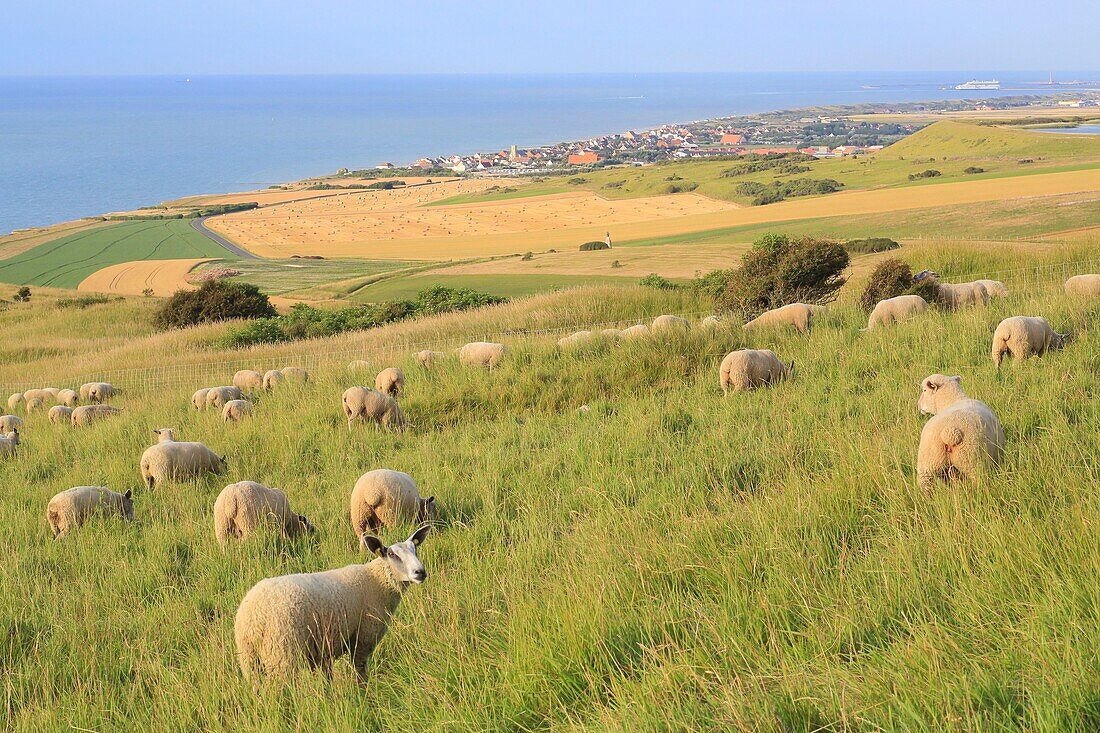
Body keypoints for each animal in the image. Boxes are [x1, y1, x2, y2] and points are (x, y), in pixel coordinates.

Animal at [234, 521, 431, 677]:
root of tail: (253, 617)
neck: (376, 581)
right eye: (392, 555)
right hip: (282, 654)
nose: (420, 572)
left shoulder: (325, 649)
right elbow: (360, 672)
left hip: (250, 660)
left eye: (415, 549)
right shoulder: (363, 639)